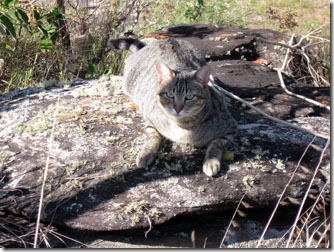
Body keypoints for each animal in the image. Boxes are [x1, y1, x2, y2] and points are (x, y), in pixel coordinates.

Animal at [107, 37, 237, 176]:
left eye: (189, 97)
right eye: (169, 95)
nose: (177, 108)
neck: (183, 127)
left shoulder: (230, 127)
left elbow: (217, 143)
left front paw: (211, 161)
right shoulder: (150, 118)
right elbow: (153, 137)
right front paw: (146, 153)